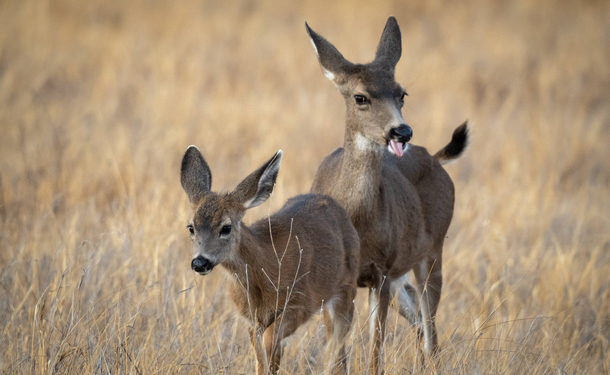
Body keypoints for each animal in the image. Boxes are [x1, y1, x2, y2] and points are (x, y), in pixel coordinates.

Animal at [180, 148, 360, 375]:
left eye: (226, 227)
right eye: (191, 227)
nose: (200, 262)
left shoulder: (299, 302)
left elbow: (270, 342)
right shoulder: (251, 319)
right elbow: (261, 359)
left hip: (347, 289)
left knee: (337, 347)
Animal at [306, 16, 468, 374]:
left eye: (401, 93)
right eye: (360, 97)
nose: (402, 131)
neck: (356, 220)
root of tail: (435, 158)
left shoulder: (379, 273)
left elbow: (374, 352)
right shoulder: (336, 281)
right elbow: (339, 355)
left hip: (431, 252)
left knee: (430, 329)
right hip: (401, 273)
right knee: (419, 319)